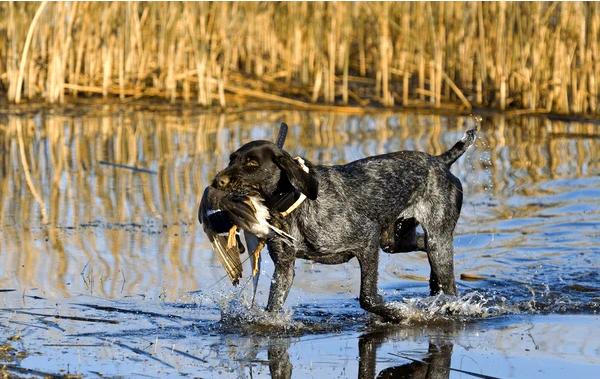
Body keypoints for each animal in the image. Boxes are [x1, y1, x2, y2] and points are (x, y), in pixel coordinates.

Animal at [204, 126, 476, 322]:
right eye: (231, 159)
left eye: (252, 164)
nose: (216, 182)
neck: (295, 205)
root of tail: (440, 161)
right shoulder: (284, 266)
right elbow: (274, 305)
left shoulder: (367, 240)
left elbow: (368, 298)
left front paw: (400, 314)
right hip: (396, 241)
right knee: (423, 246)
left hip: (436, 240)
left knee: (449, 285)